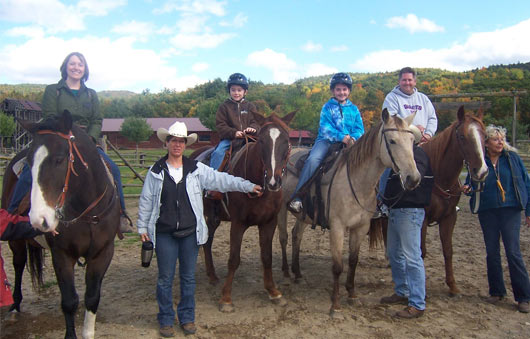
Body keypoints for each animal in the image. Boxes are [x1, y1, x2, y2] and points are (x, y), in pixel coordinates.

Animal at [2, 110, 119, 338]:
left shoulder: (103, 253)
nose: (39, 220)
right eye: (29, 162)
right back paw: (14, 308)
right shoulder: (62, 255)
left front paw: (87, 332)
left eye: (58, 159)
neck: (87, 213)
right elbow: (69, 301)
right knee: (18, 264)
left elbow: (92, 297)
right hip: (15, 241)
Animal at [192, 111, 294, 314]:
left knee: (207, 242)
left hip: (214, 218)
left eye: (286, 141)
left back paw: (212, 276)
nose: (273, 181)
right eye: (261, 140)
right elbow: (233, 259)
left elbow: (267, 257)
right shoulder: (238, 223)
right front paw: (226, 299)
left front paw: (274, 292)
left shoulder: (269, 223)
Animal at [276, 109, 420, 318]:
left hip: (304, 216)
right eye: (392, 141)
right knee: (284, 237)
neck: (356, 181)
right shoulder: (337, 227)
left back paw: (298, 274)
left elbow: (353, 261)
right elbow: (337, 266)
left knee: (296, 236)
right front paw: (335, 305)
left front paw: (352, 295)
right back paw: (287, 273)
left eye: (411, 140)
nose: (413, 179)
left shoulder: (360, 228)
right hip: (280, 210)